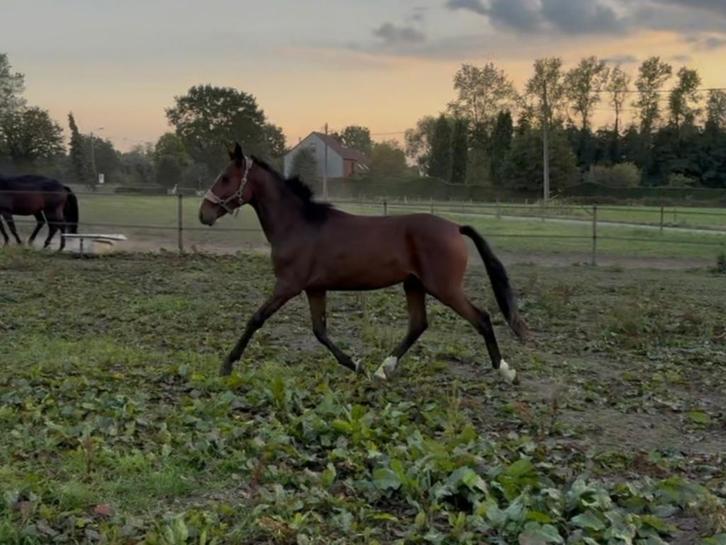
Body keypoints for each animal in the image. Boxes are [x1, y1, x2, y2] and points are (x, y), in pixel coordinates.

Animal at [198, 143, 528, 383]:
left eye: (225, 178)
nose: (204, 214)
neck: (298, 224)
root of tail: (455, 227)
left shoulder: (288, 285)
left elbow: (256, 319)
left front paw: (226, 365)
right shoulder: (314, 289)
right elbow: (319, 332)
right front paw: (356, 365)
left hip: (443, 287)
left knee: (481, 317)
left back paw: (506, 371)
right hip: (414, 285)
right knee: (418, 325)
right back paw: (383, 369)